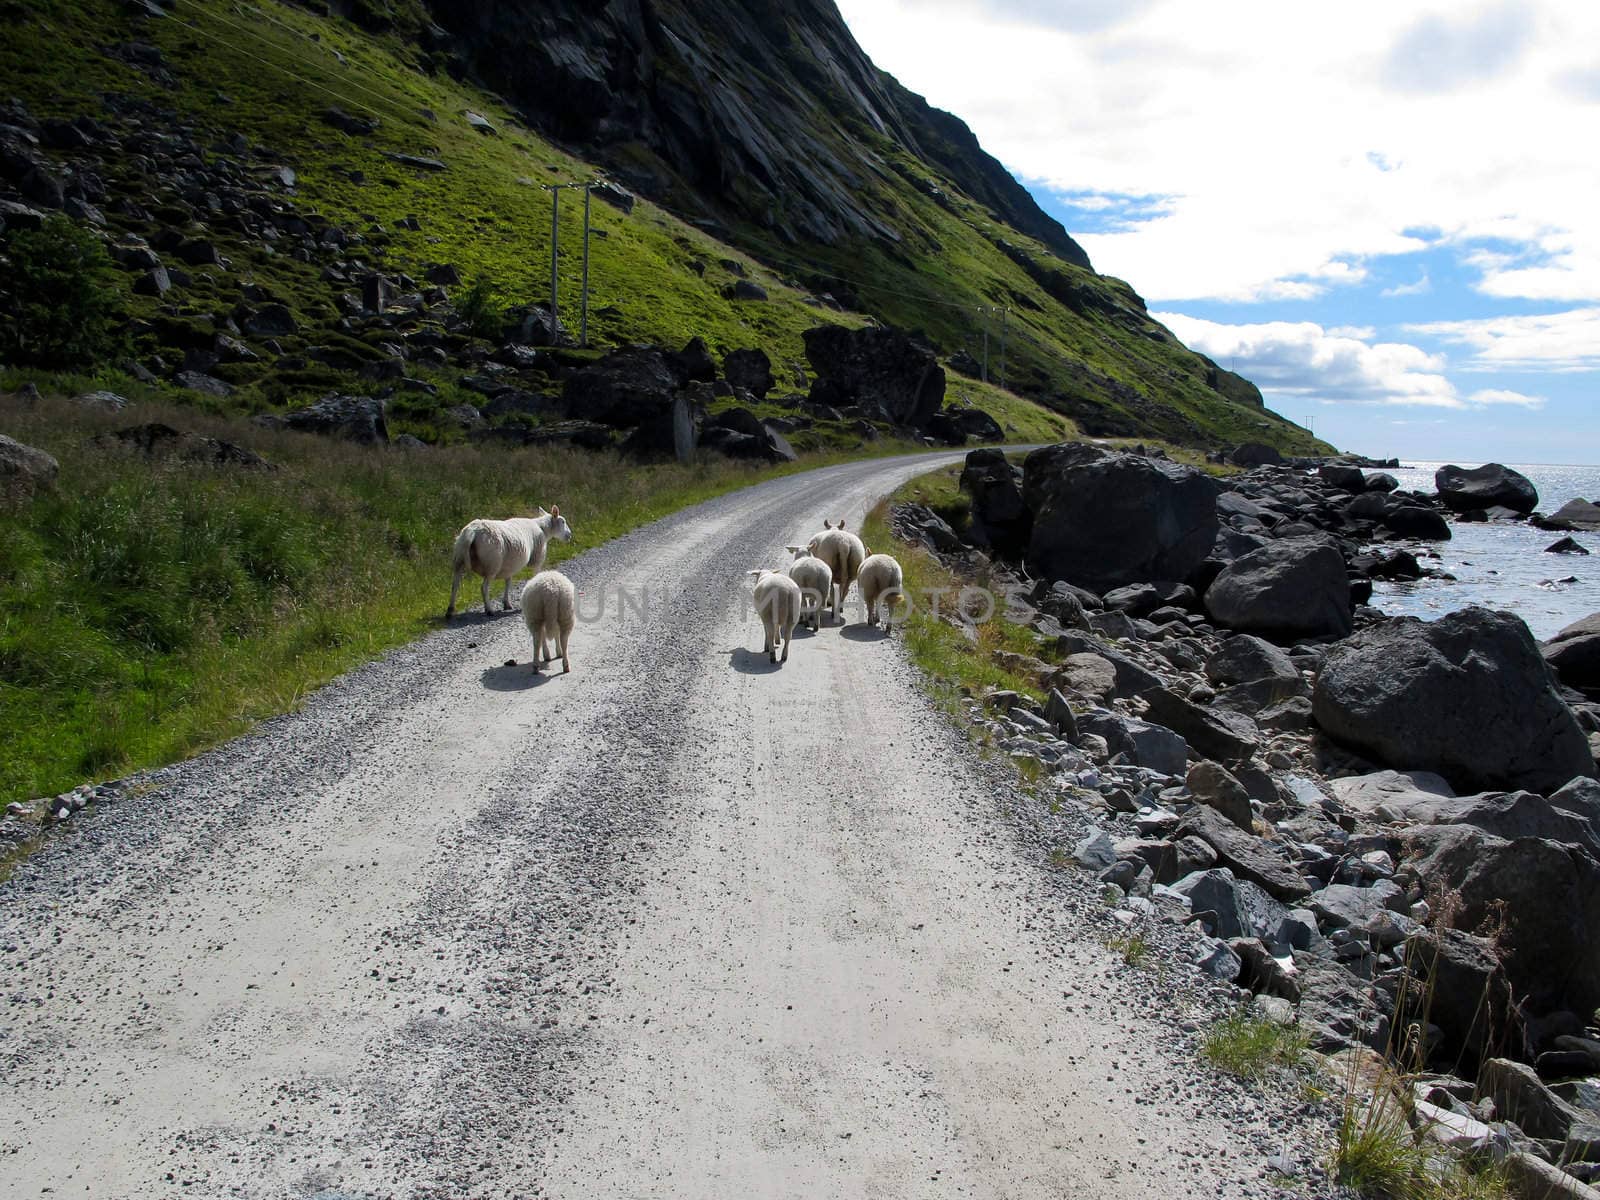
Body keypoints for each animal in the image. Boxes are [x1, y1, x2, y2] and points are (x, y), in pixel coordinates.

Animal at [444, 508, 576, 620]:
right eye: (563, 522)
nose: (569, 535)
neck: (542, 528)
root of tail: (473, 531)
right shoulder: (537, 559)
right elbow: (535, 576)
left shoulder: (510, 564)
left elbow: (508, 582)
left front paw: (506, 603)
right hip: (492, 563)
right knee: (484, 587)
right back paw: (489, 610)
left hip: (459, 559)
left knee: (454, 585)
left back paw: (450, 610)